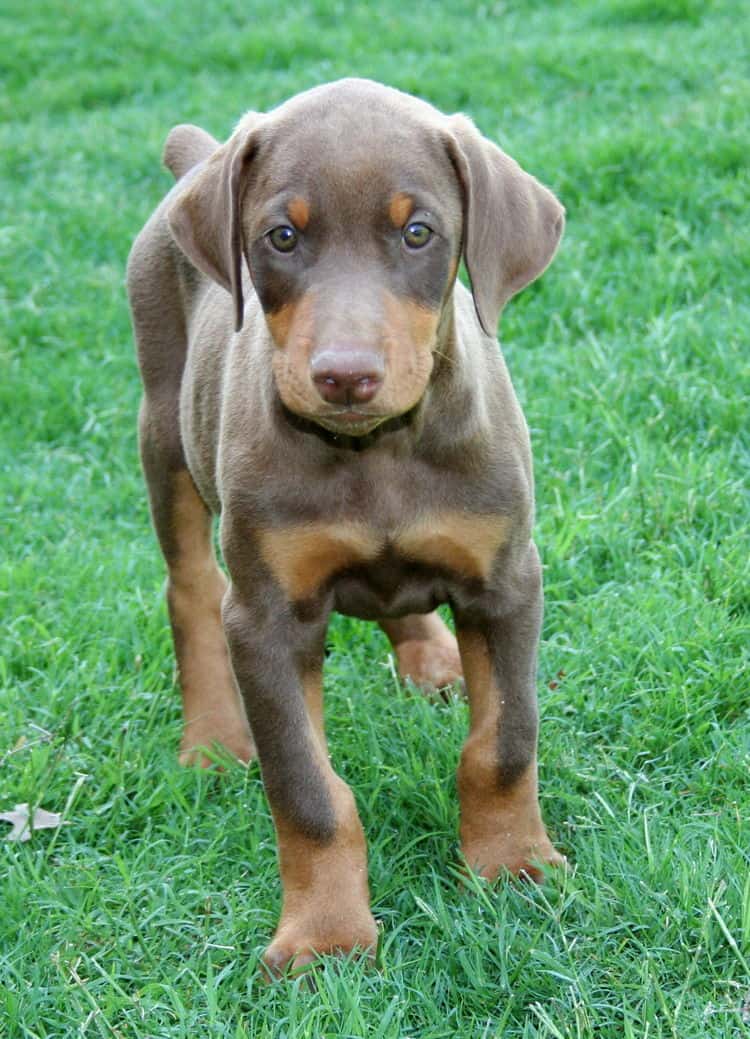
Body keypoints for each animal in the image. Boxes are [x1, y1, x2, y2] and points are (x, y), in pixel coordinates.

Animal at [125, 78, 565, 972]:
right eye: (282, 236)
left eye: (418, 232)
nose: (345, 376)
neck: (377, 452)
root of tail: (197, 158)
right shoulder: (266, 619)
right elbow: (306, 788)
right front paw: (325, 934)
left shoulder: (507, 579)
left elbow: (505, 743)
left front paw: (513, 867)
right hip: (164, 435)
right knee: (189, 586)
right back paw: (212, 736)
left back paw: (433, 656)